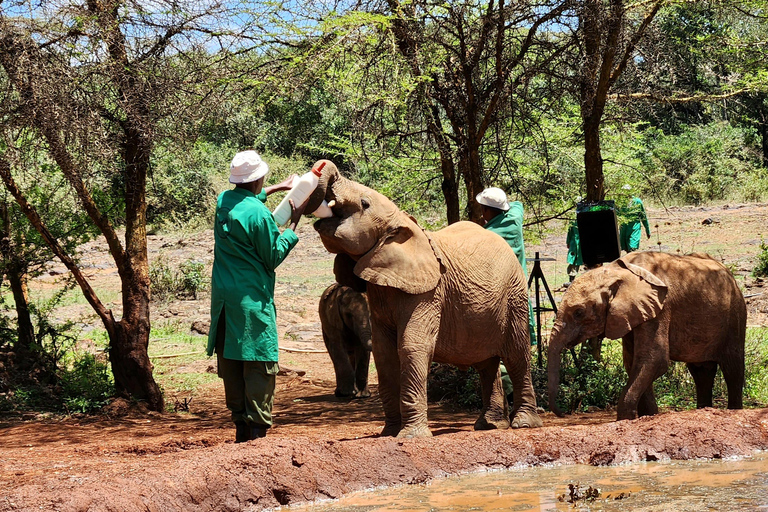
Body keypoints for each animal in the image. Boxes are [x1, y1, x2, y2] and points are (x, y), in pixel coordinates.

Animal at [300, 159, 540, 436]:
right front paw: (389, 433)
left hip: (515, 295)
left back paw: (523, 423)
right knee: (486, 363)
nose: (321, 166)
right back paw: (488, 425)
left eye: (364, 203)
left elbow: (411, 345)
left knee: (516, 355)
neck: (402, 223)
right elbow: (384, 352)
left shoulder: (428, 293)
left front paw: (411, 436)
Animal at [548, 249, 748, 420]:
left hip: (735, 315)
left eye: (579, 312)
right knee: (701, 371)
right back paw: (703, 410)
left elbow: (654, 360)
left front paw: (626, 419)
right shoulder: (631, 313)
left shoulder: (660, 309)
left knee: (732, 368)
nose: (564, 413)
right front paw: (649, 416)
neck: (616, 271)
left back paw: (733, 411)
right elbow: (634, 363)